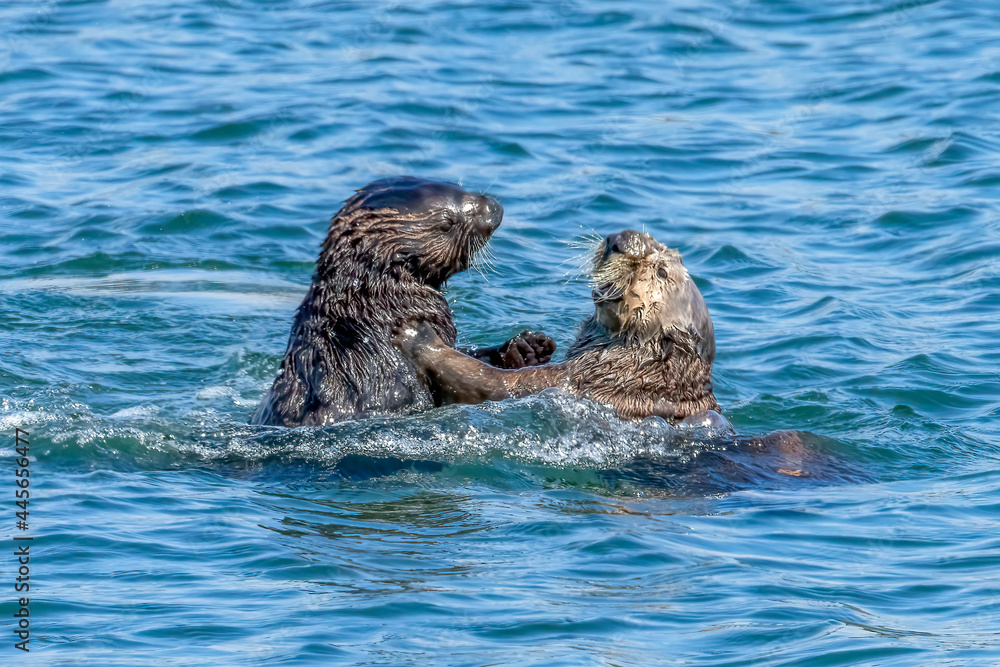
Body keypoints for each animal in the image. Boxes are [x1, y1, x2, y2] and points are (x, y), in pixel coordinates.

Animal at [393, 229, 720, 421]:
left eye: (661, 272)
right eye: (655, 242)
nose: (619, 240)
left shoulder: (575, 382)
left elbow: (490, 382)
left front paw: (417, 334)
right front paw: (527, 347)